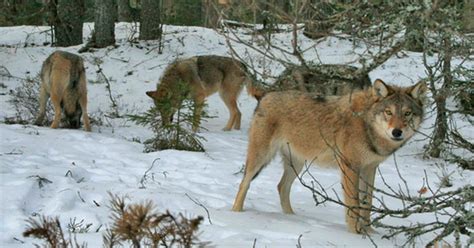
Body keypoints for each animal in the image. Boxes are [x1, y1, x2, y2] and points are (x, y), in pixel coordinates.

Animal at [231, 80, 428, 234]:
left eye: (407, 113)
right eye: (388, 112)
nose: (397, 132)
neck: (366, 124)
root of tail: (265, 95)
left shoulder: (369, 168)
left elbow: (367, 202)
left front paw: (370, 231)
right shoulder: (350, 167)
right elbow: (354, 202)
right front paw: (356, 233)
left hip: (297, 164)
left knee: (281, 187)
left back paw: (292, 218)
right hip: (261, 158)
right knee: (244, 183)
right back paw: (236, 215)